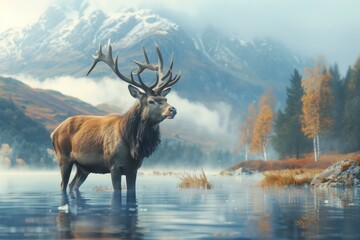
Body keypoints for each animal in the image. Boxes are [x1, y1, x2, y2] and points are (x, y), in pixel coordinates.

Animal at [50, 40, 180, 195]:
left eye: (165, 99)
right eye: (151, 101)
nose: (173, 110)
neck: (131, 144)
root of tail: (54, 132)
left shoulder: (133, 169)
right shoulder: (114, 166)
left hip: (83, 167)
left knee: (72, 185)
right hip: (63, 157)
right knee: (63, 184)